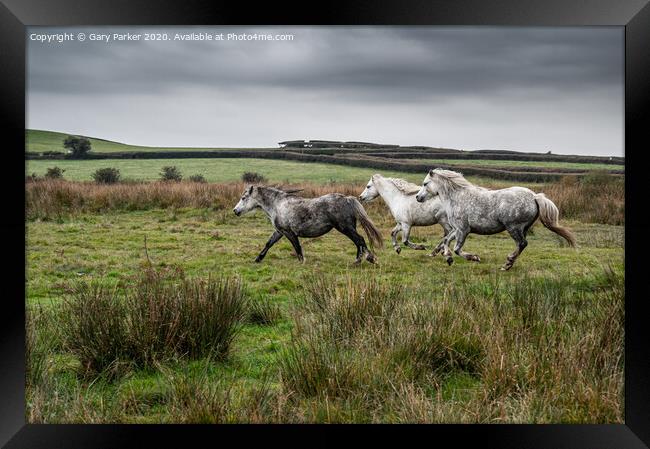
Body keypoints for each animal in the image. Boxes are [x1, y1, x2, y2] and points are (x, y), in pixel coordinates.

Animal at [234, 185, 382, 262]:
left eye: (244, 198)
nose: (235, 211)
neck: (277, 205)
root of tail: (348, 199)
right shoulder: (280, 231)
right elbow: (269, 243)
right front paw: (258, 259)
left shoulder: (289, 232)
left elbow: (297, 247)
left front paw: (302, 262)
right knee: (358, 241)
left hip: (345, 228)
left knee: (359, 240)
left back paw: (365, 259)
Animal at [416, 168, 572, 270]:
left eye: (425, 183)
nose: (418, 197)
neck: (457, 198)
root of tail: (534, 196)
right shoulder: (457, 229)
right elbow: (446, 241)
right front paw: (448, 258)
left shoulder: (463, 230)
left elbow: (457, 249)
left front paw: (474, 258)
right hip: (523, 228)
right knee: (521, 245)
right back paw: (508, 263)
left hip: (513, 227)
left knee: (522, 243)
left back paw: (507, 264)